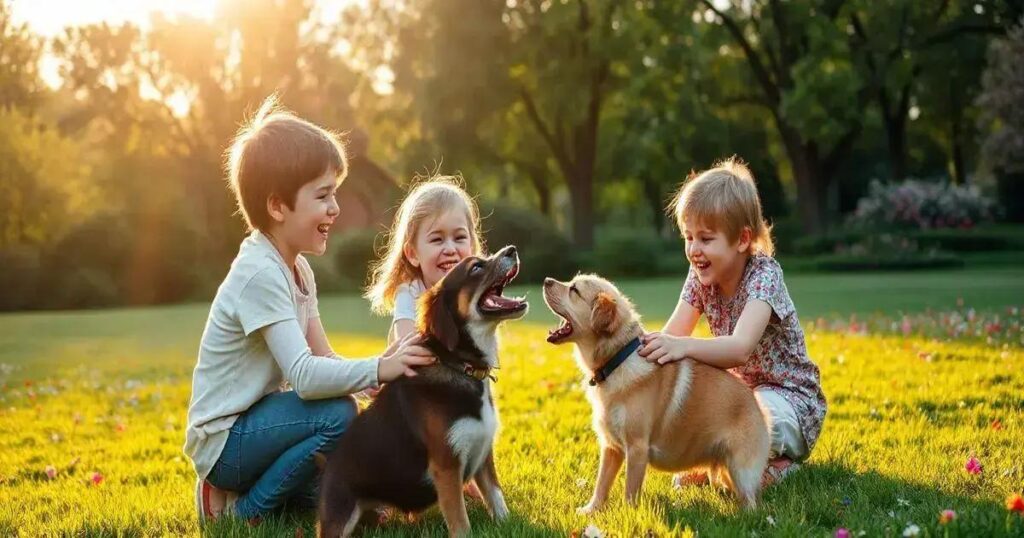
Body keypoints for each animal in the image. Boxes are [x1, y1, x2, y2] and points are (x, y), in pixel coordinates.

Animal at [317, 244, 528, 532]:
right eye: (476, 267)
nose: (512, 249)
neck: (459, 365)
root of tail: (327, 466)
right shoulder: (446, 466)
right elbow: (461, 524)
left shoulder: (484, 455)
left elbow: (497, 498)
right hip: (341, 513)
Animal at [540, 274, 765, 510]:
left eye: (574, 290)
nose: (546, 280)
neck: (617, 360)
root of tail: (757, 404)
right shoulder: (611, 447)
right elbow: (601, 484)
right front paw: (591, 510)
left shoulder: (637, 448)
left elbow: (630, 492)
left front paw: (628, 515)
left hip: (741, 469)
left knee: (752, 502)